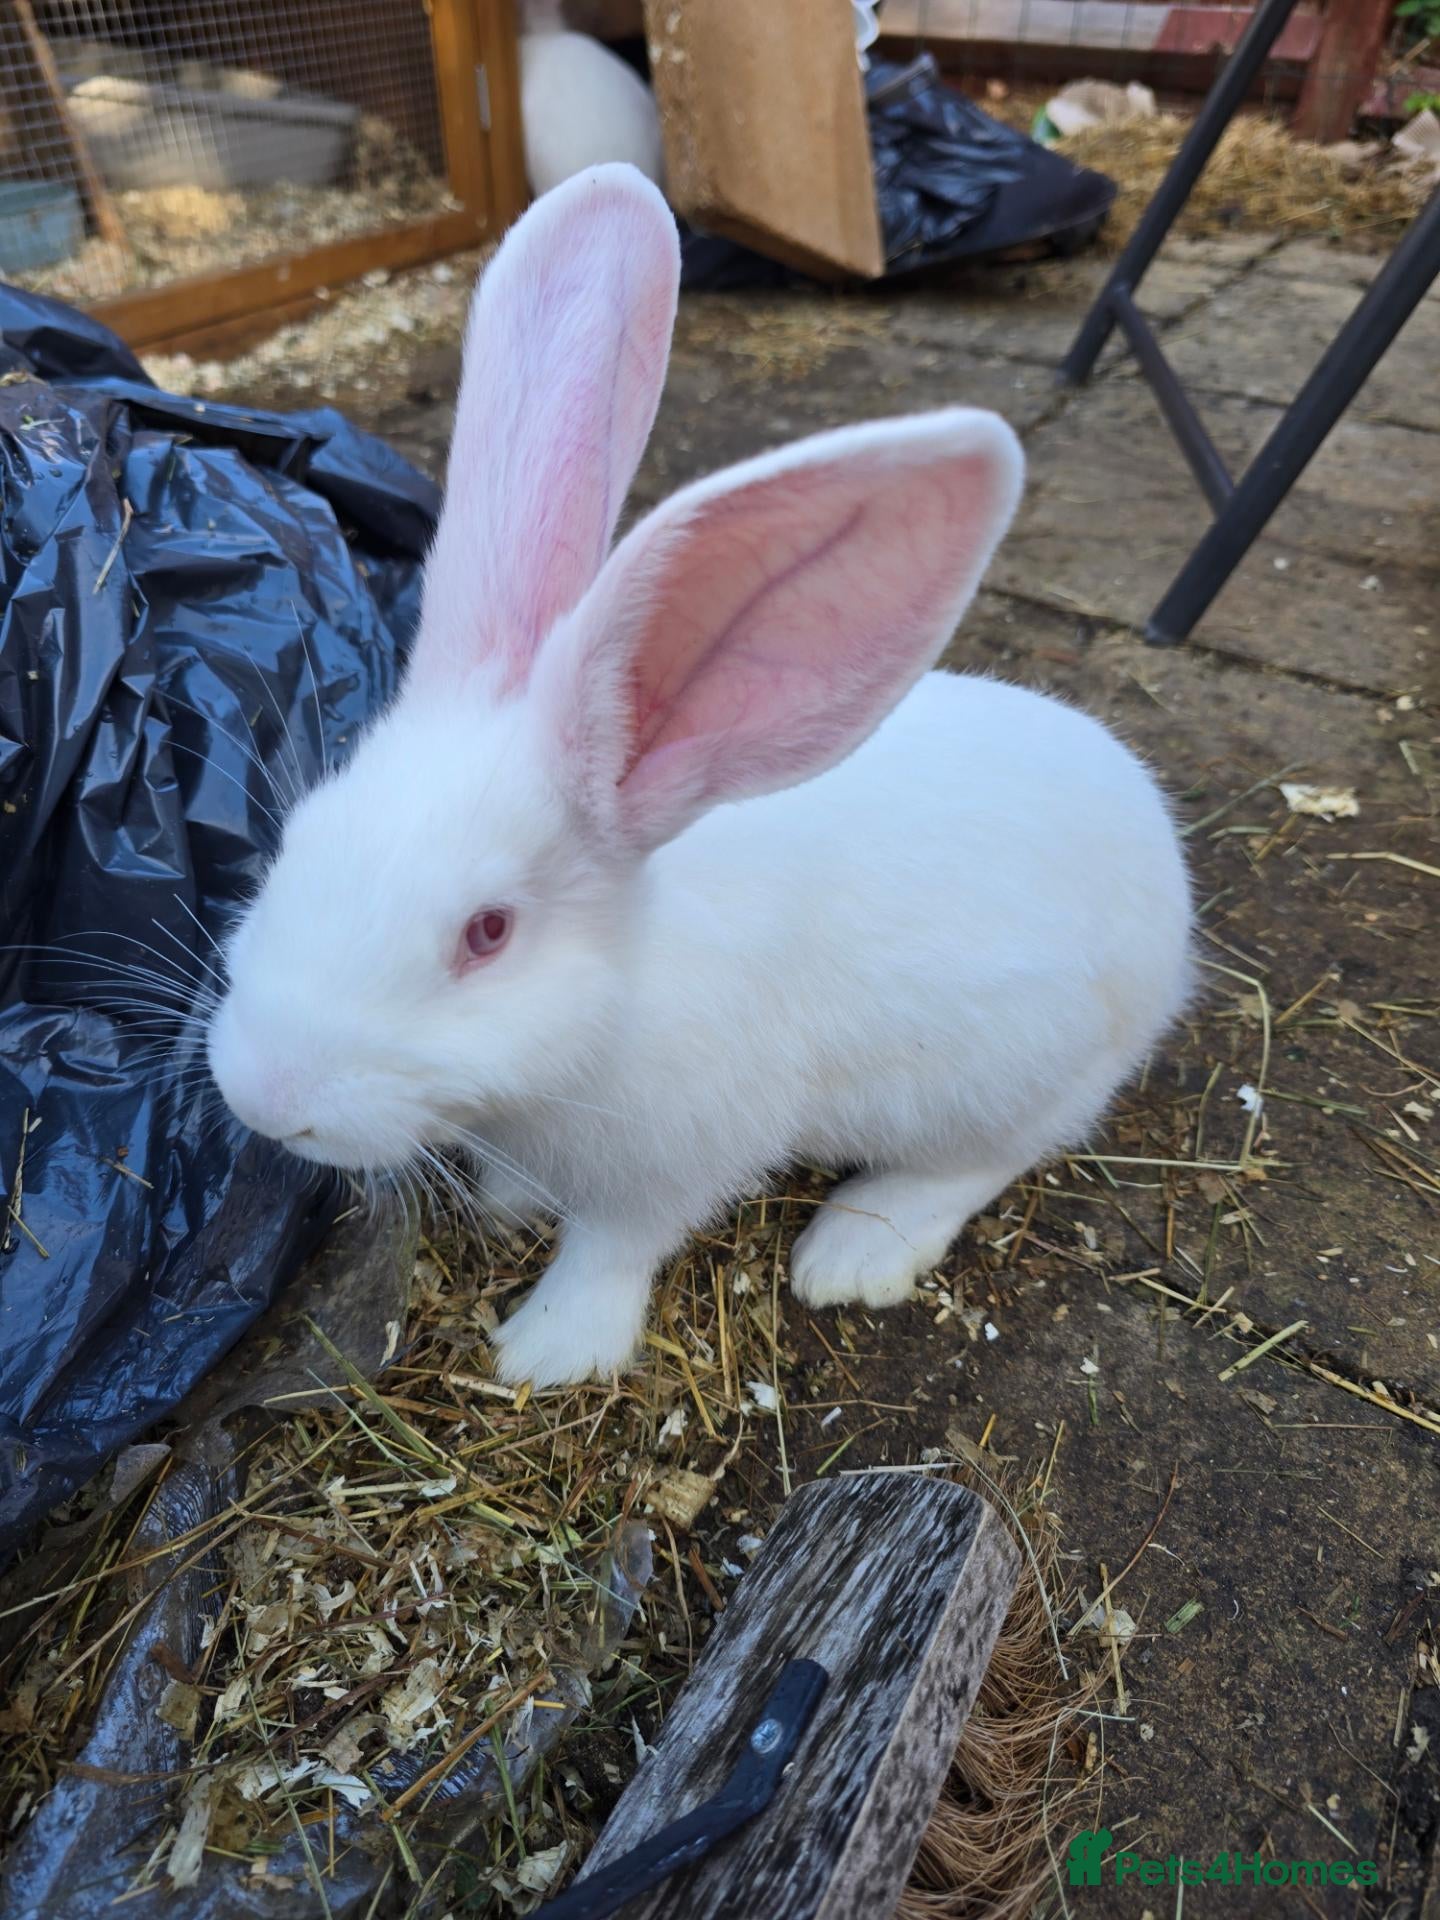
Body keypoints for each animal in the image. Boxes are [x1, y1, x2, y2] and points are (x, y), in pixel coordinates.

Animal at [206, 164, 1193, 1389]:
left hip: (1018, 1075)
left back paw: (850, 1253)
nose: (263, 1098)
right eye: (294, 842)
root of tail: (1168, 877)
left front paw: (543, 1353)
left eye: (488, 933)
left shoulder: (675, 1159)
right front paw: (506, 1207)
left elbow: (614, 1250)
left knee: (985, 1160)